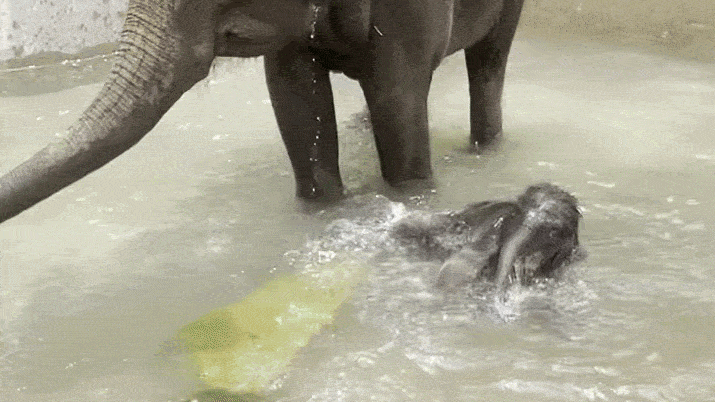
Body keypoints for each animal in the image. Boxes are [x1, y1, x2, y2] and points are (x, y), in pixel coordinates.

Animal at [0, 0, 525, 223]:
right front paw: (323, 210)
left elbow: (398, 97)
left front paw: (413, 199)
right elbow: (295, 101)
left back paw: (486, 148)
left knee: (490, 61)